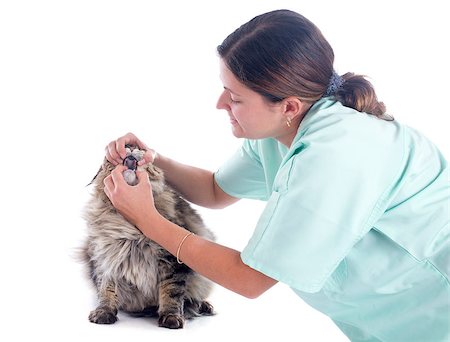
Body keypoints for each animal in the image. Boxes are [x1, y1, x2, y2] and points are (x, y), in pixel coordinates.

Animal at [79, 146, 214, 328]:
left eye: (138, 148)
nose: (129, 147)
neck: (128, 225)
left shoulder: (171, 261)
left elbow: (171, 291)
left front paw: (171, 317)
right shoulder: (106, 258)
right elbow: (106, 289)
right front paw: (104, 312)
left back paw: (203, 306)